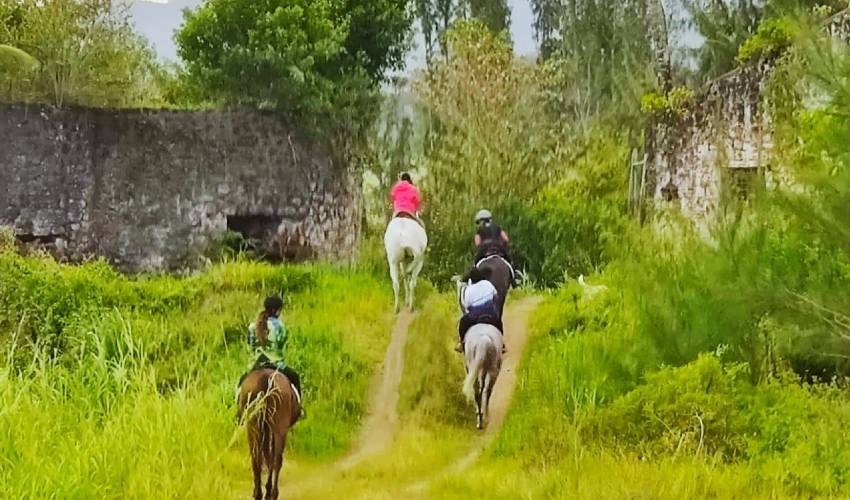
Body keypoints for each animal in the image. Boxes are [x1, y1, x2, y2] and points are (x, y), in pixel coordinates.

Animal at [238, 368, 302, 500]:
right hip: (276, 429)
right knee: (275, 459)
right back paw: (271, 492)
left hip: (254, 427)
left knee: (259, 458)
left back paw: (261, 492)